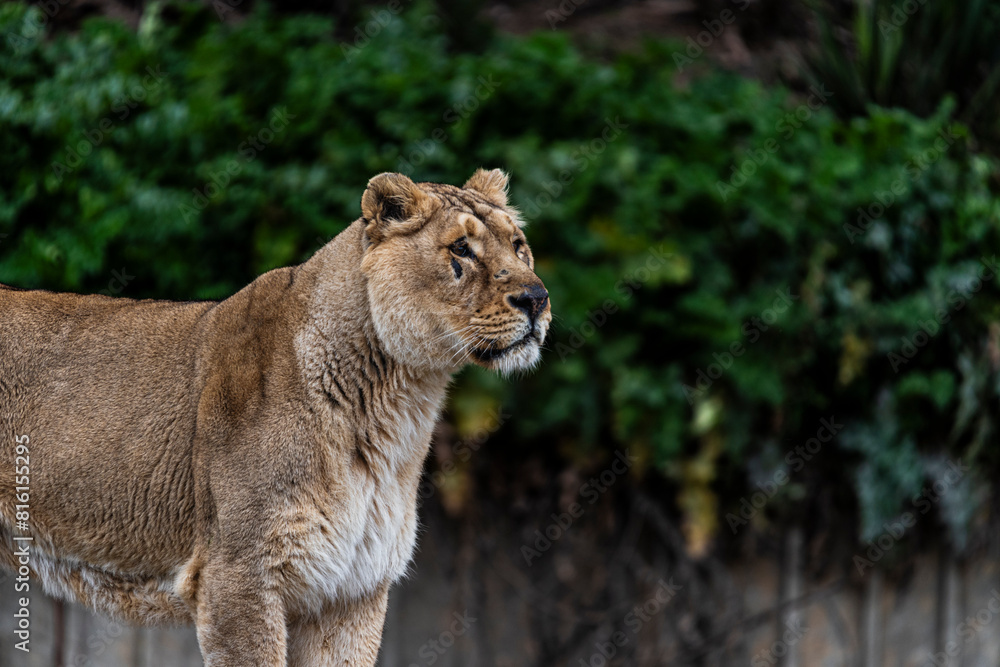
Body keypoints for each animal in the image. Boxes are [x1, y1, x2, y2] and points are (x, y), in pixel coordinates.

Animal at [0, 169, 551, 666]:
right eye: (461, 249)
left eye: (519, 245)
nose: (537, 299)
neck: (398, 402)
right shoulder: (237, 578)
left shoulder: (352, 592)